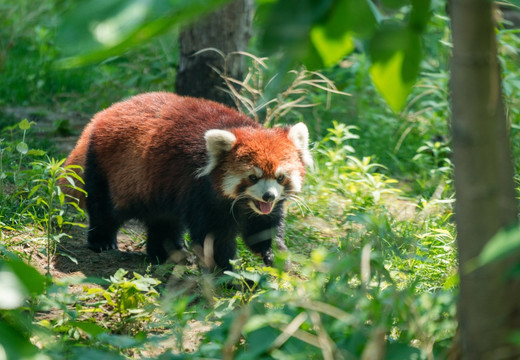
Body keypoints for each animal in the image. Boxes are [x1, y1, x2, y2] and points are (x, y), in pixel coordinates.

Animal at [63, 91, 310, 272]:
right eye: (253, 177)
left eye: (280, 177)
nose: (268, 196)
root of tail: (104, 114)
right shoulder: (201, 193)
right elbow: (214, 238)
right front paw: (228, 273)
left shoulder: (260, 209)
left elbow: (263, 231)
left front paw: (277, 256)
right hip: (108, 170)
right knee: (104, 209)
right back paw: (102, 241)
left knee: (163, 222)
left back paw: (168, 253)